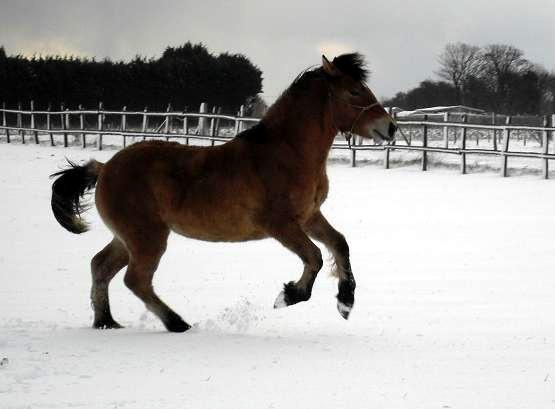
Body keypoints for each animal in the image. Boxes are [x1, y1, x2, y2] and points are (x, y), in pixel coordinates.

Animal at [50, 53, 398, 332]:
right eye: (354, 91)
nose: (390, 127)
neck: (287, 152)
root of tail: (105, 168)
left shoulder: (309, 216)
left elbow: (339, 244)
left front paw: (345, 302)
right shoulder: (281, 225)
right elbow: (314, 256)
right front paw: (288, 296)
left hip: (127, 238)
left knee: (100, 266)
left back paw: (106, 322)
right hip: (146, 237)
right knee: (135, 279)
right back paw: (177, 324)